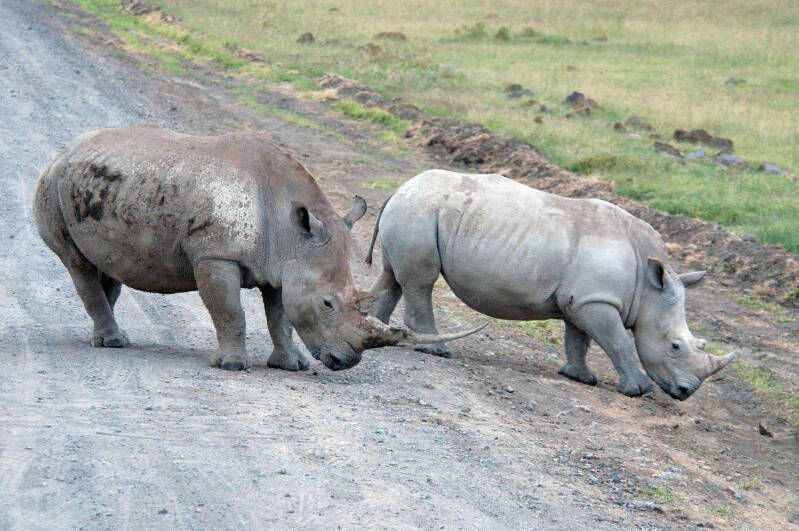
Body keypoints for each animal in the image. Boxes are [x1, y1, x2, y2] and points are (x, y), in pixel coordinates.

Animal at [33, 127, 481, 372]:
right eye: (329, 304)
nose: (347, 362)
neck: (290, 233)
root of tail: (65, 150)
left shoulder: (283, 266)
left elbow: (280, 318)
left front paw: (292, 365)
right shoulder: (215, 255)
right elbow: (231, 312)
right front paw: (232, 365)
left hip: (100, 184)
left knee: (105, 265)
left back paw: (105, 337)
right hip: (50, 184)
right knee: (76, 264)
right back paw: (113, 342)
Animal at [366, 170, 736, 399]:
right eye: (675, 346)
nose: (687, 393)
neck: (648, 290)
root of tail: (400, 188)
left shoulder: (582, 299)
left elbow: (579, 339)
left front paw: (579, 377)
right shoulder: (597, 299)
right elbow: (617, 341)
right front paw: (639, 390)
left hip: (416, 211)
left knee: (392, 276)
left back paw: (380, 333)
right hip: (420, 212)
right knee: (420, 281)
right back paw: (437, 350)